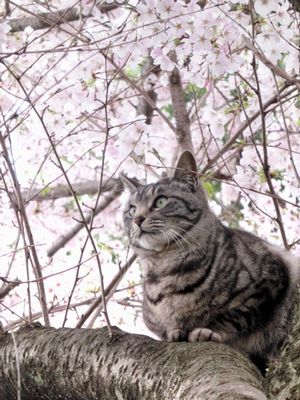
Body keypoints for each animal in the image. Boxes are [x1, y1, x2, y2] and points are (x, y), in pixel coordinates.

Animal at [120, 152, 298, 374]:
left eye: (160, 201)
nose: (137, 219)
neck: (165, 269)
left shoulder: (266, 283)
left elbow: (235, 315)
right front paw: (175, 331)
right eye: (131, 210)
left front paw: (207, 330)